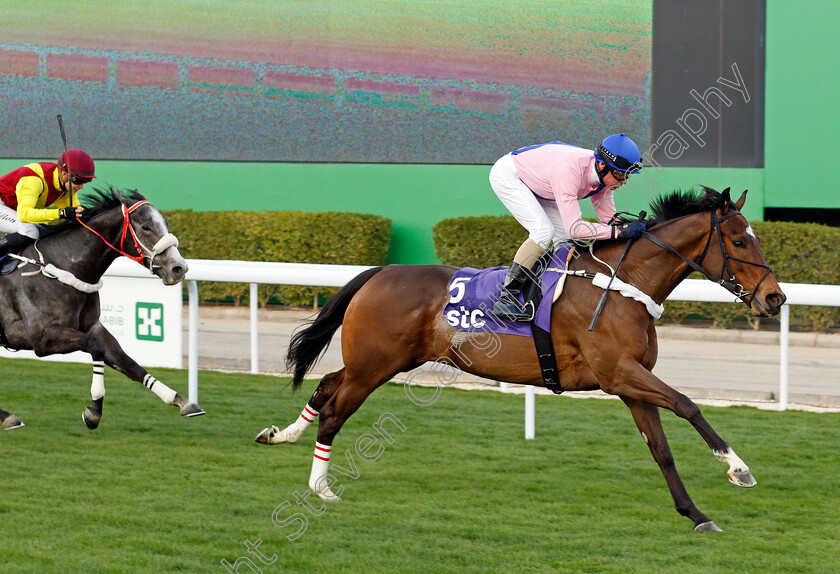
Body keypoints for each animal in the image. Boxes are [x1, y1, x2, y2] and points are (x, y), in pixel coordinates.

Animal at [0, 188, 203, 432]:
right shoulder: (41, 338)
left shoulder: (93, 326)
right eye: (146, 226)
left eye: (166, 223)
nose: (179, 268)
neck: (64, 265)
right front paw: (94, 412)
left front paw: (182, 401)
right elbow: (95, 347)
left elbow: (128, 363)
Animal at [258, 187, 788, 532]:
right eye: (740, 241)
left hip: (380, 361)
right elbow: (688, 405)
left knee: (326, 385)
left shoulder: (630, 383)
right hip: (376, 366)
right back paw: (320, 487)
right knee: (335, 410)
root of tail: (381, 271)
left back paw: (280, 434)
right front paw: (738, 469)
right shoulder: (619, 373)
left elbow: (661, 449)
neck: (622, 284)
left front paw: (695, 515)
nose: (776, 298)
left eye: (756, 238)